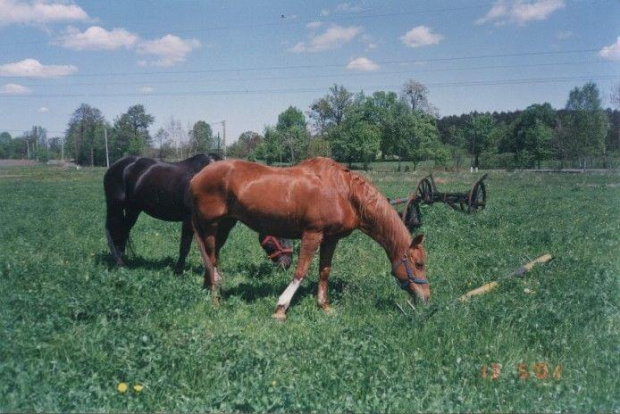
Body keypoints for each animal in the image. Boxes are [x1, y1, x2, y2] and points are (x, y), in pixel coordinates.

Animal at [103, 154, 294, 274]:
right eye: (280, 234)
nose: (287, 263)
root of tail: (116, 166)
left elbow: (215, 246)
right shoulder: (190, 221)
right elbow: (185, 246)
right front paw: (179, 271)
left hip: (133, 209)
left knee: (123, 231)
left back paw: (123, 259)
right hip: (114, 206)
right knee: (112, 231)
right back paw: (119, 262)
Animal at [190, 155, 432, 320]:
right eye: (419, 264)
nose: (426, 298)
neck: (344, 192)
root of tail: (195, 178)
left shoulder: (331, 239)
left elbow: (324, 271)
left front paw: (324, 306)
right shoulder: (312, 235)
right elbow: (301, 272)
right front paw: (281, 308)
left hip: (224, 226)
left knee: (212, 261)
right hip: (211, 227)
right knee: (211, 260)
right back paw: (215, 300)